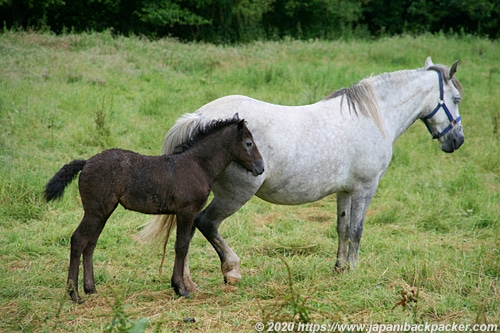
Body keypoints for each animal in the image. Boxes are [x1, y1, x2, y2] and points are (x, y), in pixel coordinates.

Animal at [139, 55, 462, 294]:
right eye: (457, 98)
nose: (457, 141)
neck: (373, 116)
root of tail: (198, 118)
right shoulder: (365, 188)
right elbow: (357, 230)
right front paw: (354, 270)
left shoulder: (345, 191)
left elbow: (342, 228)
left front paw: (339, 268)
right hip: (235, 194)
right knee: (206, 223)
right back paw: (231, 270)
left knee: (189, 230)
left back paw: (188, 283)